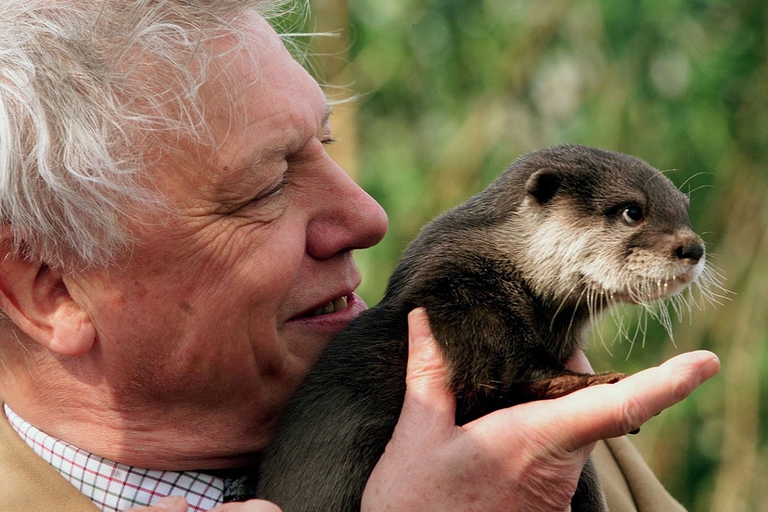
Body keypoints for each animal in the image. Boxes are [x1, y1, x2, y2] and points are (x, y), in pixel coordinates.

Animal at [256, 144, 707, 512]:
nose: (694, 247)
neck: (502, 264)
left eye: (684, 210)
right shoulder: (462, 297)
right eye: (632, 211)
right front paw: (599, 381)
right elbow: (511, 373)